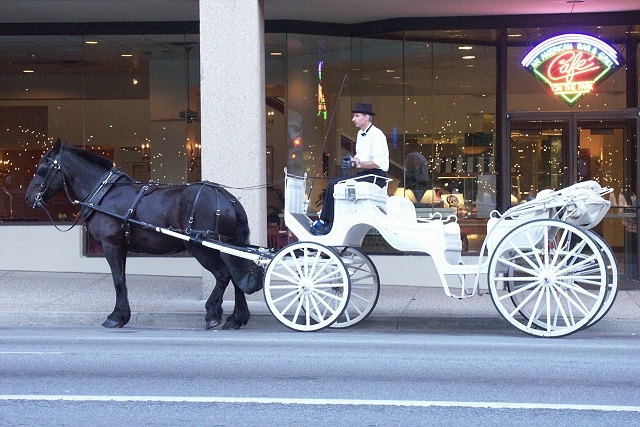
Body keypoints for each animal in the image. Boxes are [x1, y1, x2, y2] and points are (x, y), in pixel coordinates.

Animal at [25, 140, 260, 332]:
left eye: (43, 167)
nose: (29, 197)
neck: (103, 193)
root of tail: (229, 199)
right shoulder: (122, 247)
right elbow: (122, 279)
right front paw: (121, 314)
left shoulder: (111, 245)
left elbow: (118, 280)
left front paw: (116, 317)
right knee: (237, 276)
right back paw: (236, 318)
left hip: (201, 247)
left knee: (223, 275)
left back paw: (213, 313)